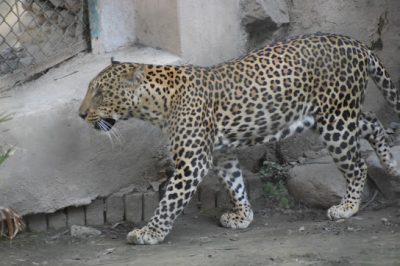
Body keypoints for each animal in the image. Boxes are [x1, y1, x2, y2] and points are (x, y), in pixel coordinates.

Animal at [79, 33, 400, 245]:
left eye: (100, 93)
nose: (81, 114)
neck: (157, 105)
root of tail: (356, 43)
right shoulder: (221, 154)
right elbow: (235, 184)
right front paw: (243, 216)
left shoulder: (192, 163)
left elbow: (169, 201)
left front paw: (149, 232)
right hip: (332, 116)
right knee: (372, 121)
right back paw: (391, 165)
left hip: (335, 123)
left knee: (357, 164)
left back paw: (348, 206)